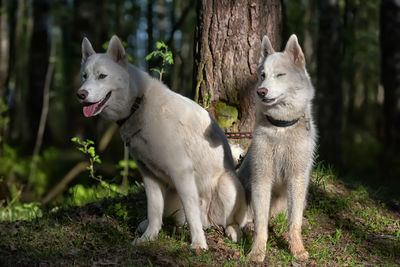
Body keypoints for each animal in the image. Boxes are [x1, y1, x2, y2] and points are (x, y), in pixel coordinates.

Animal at [76, 36, 247, 251]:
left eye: (102, 76)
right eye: (84, 76)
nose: (80, 94)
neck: (138, 104)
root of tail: (209, 220)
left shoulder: (181, 172)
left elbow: (191, 214)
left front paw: (198, 244)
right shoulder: (149, 176)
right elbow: (154, 211)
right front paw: (149, 237)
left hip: (226, 186)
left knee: (233, 221)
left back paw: (232, 231)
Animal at [238, 34, 318, 262]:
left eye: (280, 75)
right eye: (262, 75)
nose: (261, 91)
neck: (281, 127)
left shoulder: (297, 179)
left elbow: (294, 223)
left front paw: (297, 249)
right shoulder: (261, 178)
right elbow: (261, 225)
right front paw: (257, 251)